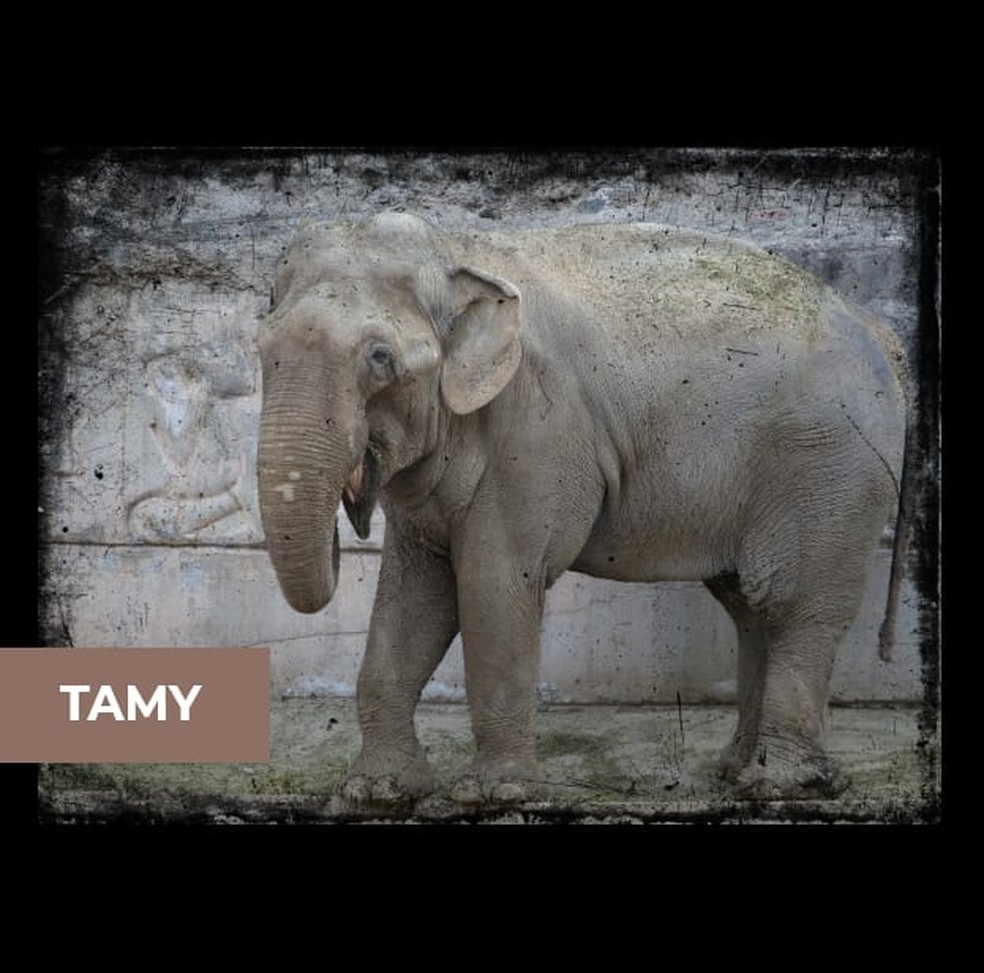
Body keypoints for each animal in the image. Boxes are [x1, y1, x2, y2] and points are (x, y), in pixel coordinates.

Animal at [256, 211, 910, 804]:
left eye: (380, 358)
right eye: (260, 348)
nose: (354, 510)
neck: (459, 250)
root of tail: (879, 328)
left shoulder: (536, 430)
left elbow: (494, 582)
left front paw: (497, 796)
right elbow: (412, 594)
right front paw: (378, 792)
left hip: (828, 465)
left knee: (795, 604)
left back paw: (781, 785)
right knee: (749, 606)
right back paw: (736, 772)